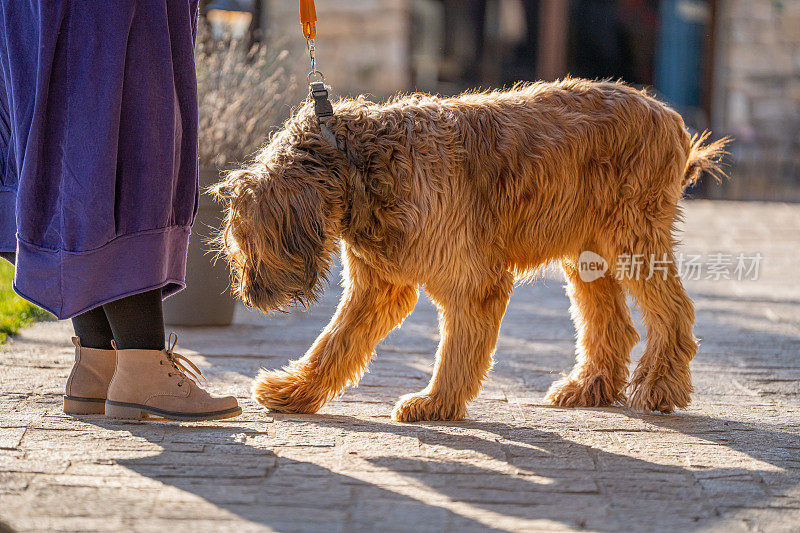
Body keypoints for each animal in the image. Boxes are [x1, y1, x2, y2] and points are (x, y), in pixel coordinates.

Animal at [211, 78, 724, 420]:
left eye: (245, 240)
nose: (249, 295)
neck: (359, 163)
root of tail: (671, 119)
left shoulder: (472, 281)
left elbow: (457, 349)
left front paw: (436, 402)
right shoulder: (380, 287)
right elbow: (334, 342)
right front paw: (295, 390)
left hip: (633, 240)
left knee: (674, 313)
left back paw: (659, 386)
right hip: (589, 255)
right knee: (612, 326)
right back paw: (588, 388)